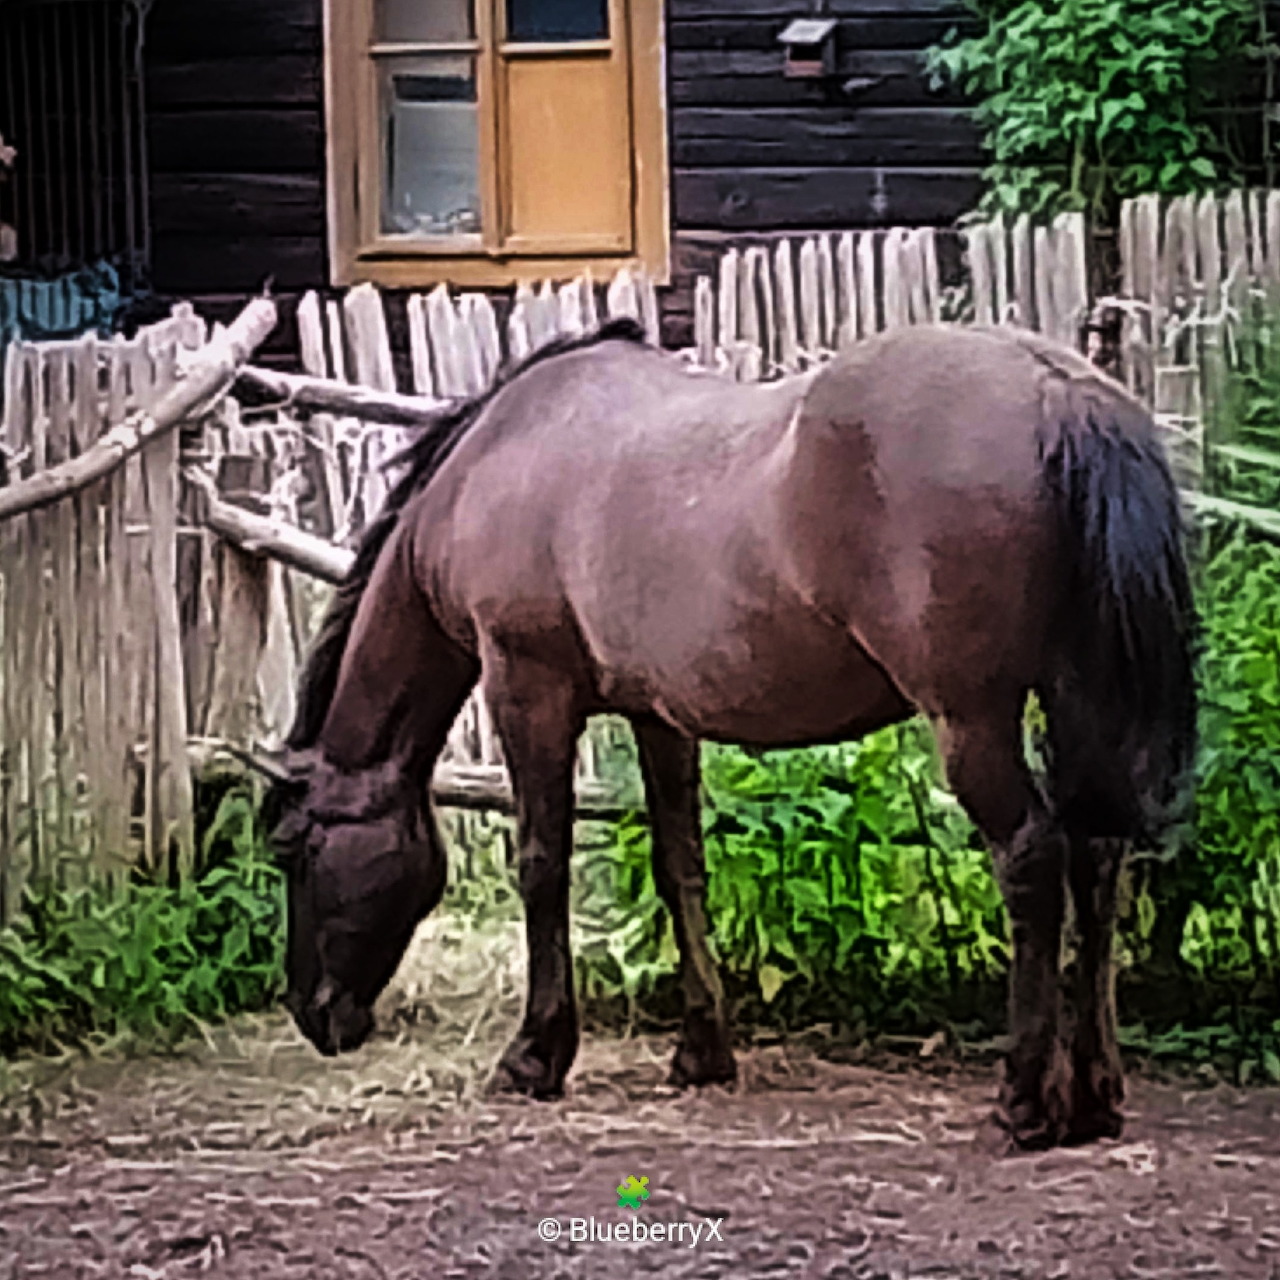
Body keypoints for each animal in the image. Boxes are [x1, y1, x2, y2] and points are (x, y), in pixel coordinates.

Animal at [256, 316, 1195, 1152]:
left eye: (293, 849)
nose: (313, 1012)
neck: (497, 458)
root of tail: (1057, 389)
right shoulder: (659, 716)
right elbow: (682, 869)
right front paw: (702, 1050)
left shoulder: (529, 687)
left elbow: (541, 866)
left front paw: (535, 1054)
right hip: (1074, 700)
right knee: (1098, 855)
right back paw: (1094, 1098)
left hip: (972, 718)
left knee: (1033, 857)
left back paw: (1024, 1102)